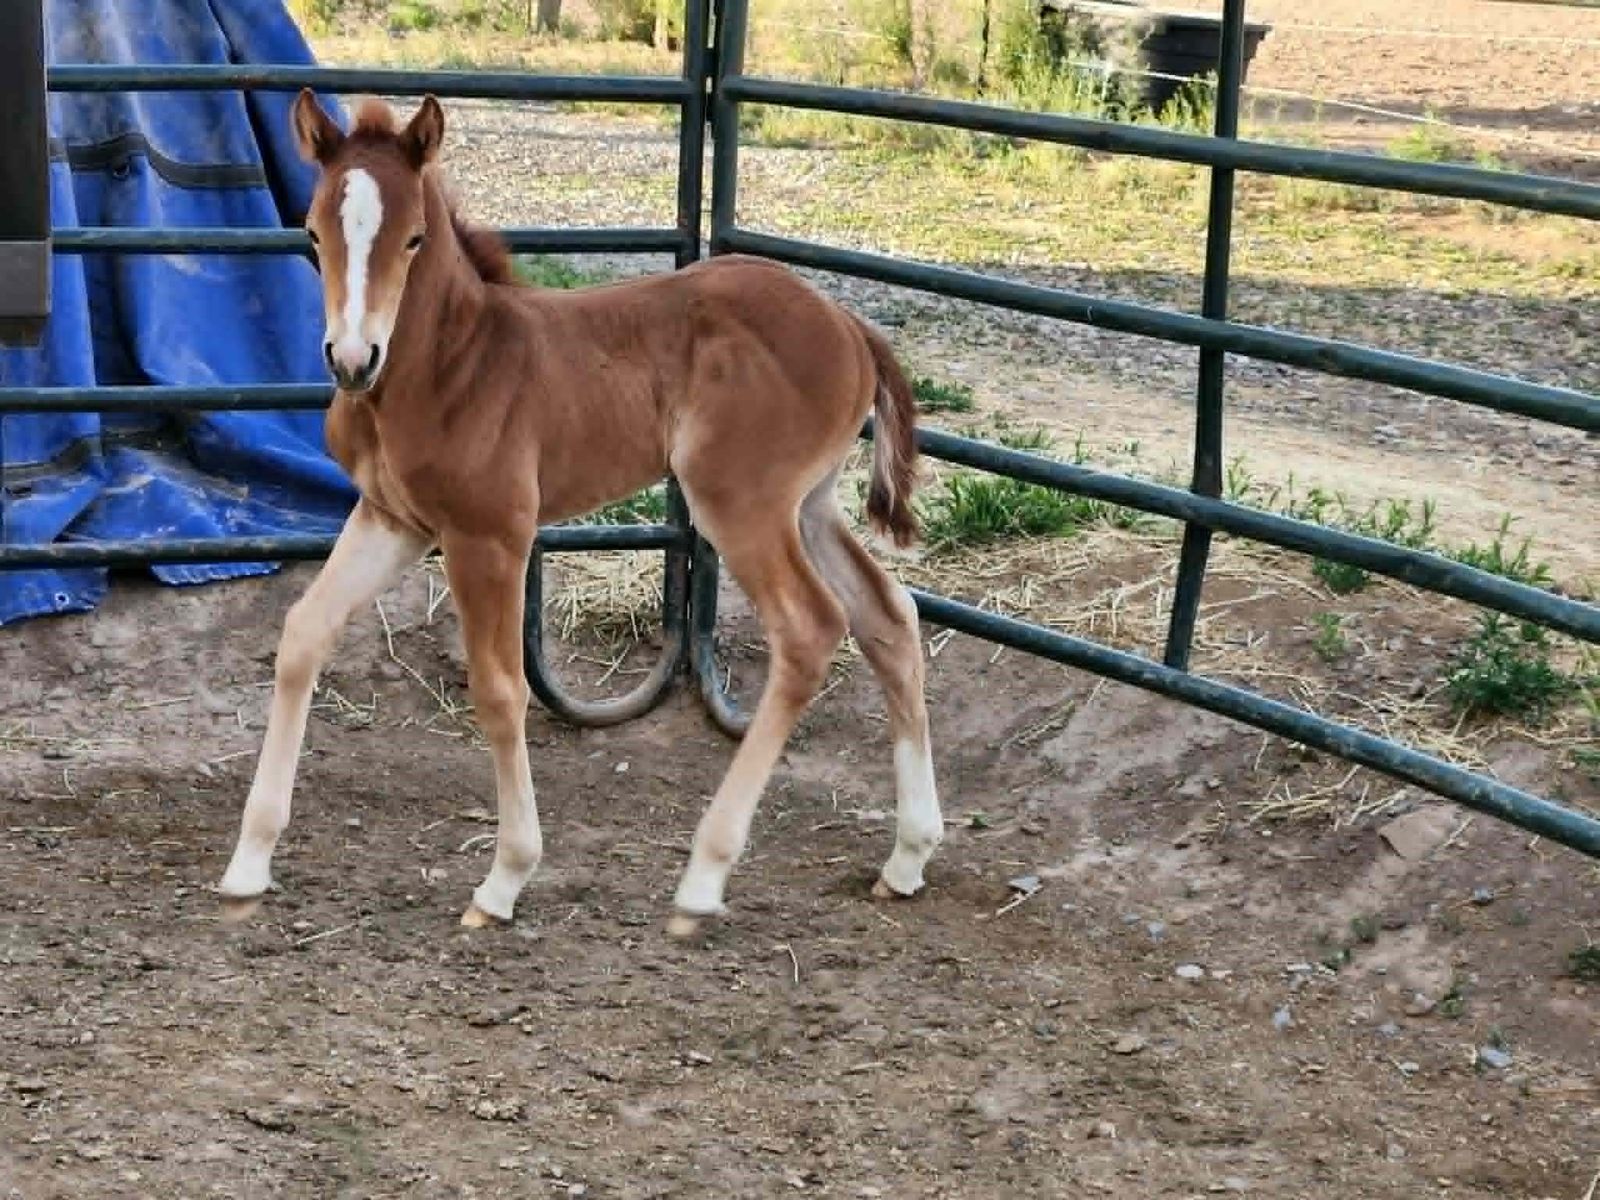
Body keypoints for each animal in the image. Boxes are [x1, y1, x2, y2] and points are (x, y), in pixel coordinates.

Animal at [216, 91, 944, 937]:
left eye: (414, 237)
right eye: (311, 231)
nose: (352, 360)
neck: (447, 367)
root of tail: (848, 325)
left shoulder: (490, 536)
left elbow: (501, 690)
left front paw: (504, 879)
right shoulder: (393, 520)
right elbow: (303, 634)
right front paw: (248, 864)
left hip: (741, 502)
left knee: (811, 628)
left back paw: (703, 877)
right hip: (810, 502)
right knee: (887, 613)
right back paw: (908, 857)